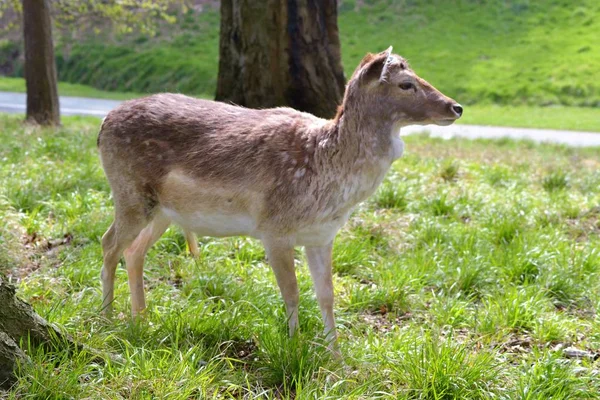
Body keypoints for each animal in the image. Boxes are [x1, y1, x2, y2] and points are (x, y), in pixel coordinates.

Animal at [98, 47, 464, 354]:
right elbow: (292, 291)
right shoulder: (274, 229)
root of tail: (102, 125)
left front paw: (336, 355)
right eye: (406, 84)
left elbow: (327, 294)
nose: (456, 107)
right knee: (109, 243)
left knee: (134, 251)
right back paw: (106, 319)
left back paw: (141, 319)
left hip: (163, 211)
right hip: (129, 192)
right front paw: (294, 348)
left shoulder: (322, 236)